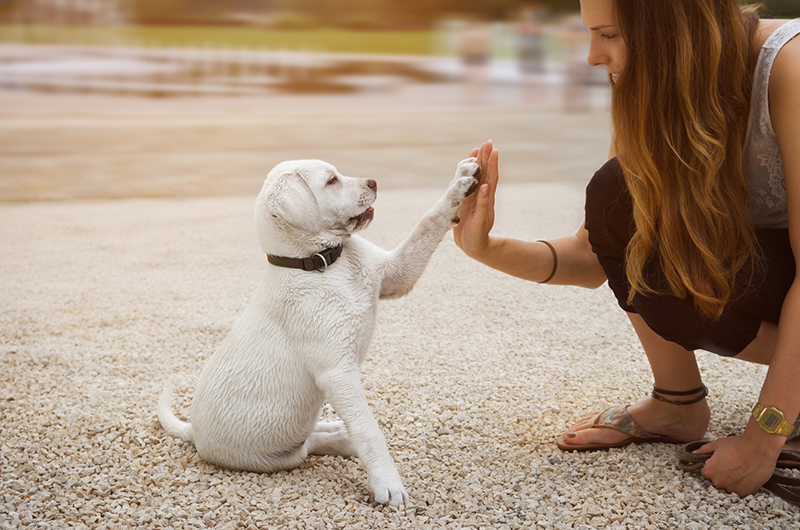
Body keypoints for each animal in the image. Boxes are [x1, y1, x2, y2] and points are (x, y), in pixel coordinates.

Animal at [159, 156, 478, 504]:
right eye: (331, 181)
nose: (374, 182)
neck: (323, 263)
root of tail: (192, 432)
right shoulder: (338, 373)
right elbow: (368, 430)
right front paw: (388, 483)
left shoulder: (395, 275)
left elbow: (428, 221)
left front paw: (460, 182)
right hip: (278, 456)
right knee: (310, 444)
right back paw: (342, 439)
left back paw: (337, 430)